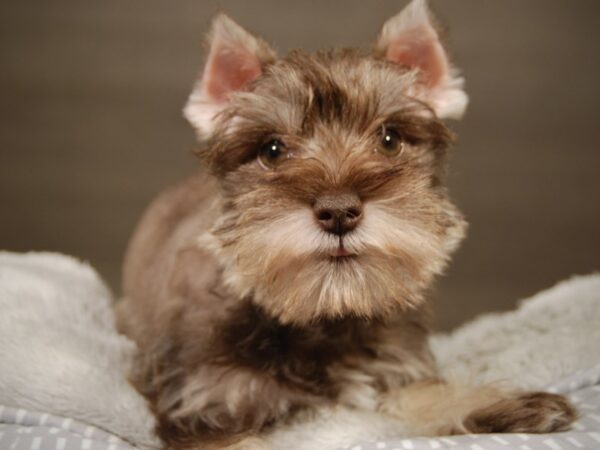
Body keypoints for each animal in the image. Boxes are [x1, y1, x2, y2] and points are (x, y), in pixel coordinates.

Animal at [113, 1, 576, 448]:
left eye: (389, 139)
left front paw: (503, 404)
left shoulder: (394, 369)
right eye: (272, 150)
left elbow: (425, 393)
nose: (338, 211)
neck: (326, 318)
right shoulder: (203, 404)